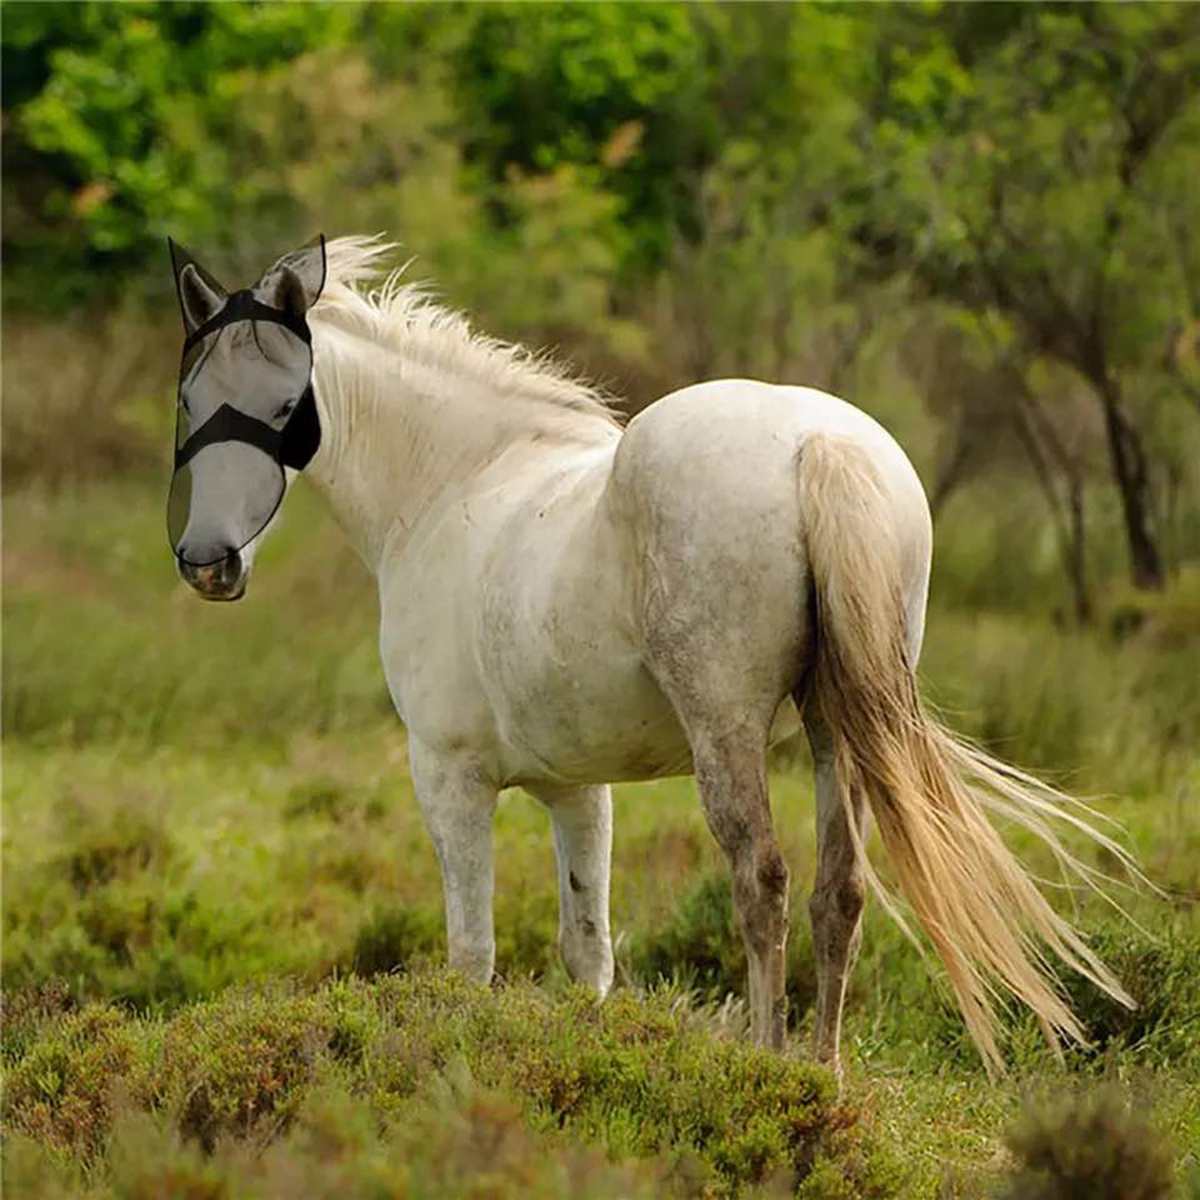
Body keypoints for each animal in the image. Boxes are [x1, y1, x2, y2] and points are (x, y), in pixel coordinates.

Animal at [165, 233, 1136, 1079]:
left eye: (284, 407)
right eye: (190, 403)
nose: (209, 564)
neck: (452, 485)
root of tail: (818, 445)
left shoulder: (449, 776)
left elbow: (472, 955)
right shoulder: (575, 790)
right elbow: (586, 952)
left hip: (727, 731)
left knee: (762, 878)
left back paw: (769, 1066)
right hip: (841, 729)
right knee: (841, 890)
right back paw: (822, 1079)